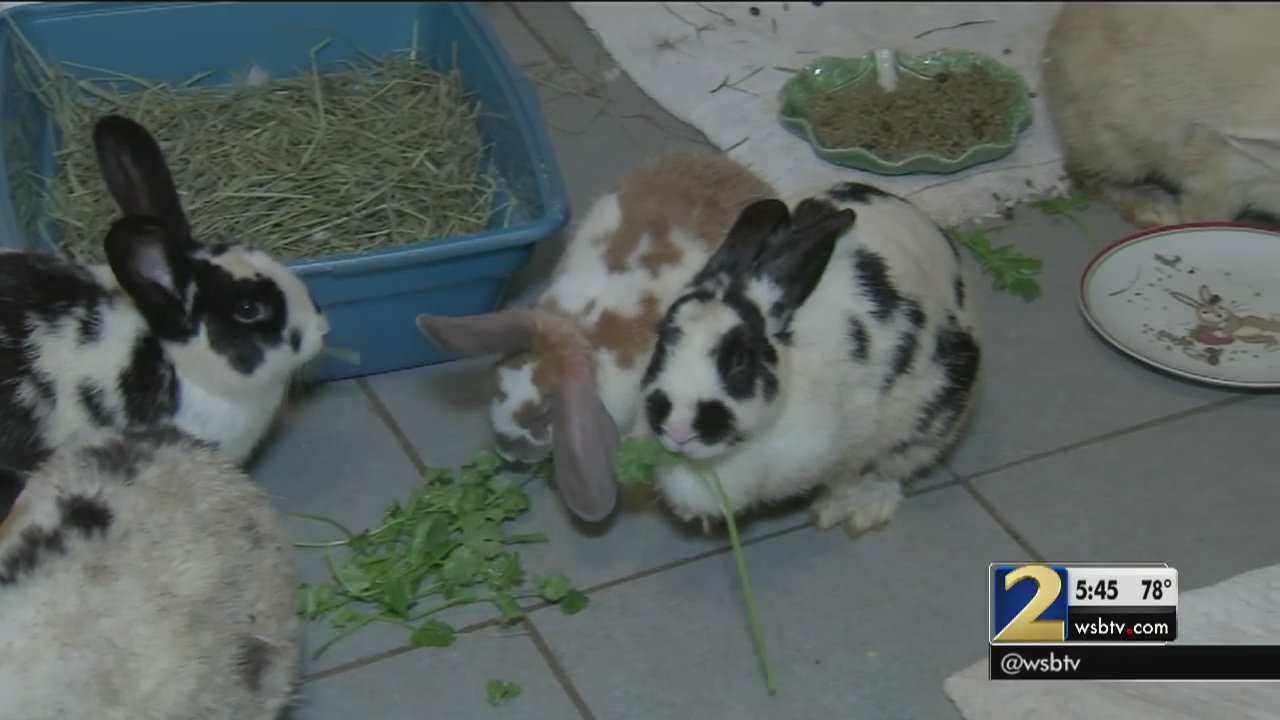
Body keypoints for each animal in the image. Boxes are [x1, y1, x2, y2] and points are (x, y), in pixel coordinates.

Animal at [637, 181, 982, 537]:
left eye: (740, 360)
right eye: (661, 342)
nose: (678, 429)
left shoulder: (855, 441)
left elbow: (852, 475)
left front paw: (834, 509)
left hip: (942, 404)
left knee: (899, 464)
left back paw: (869, 507)